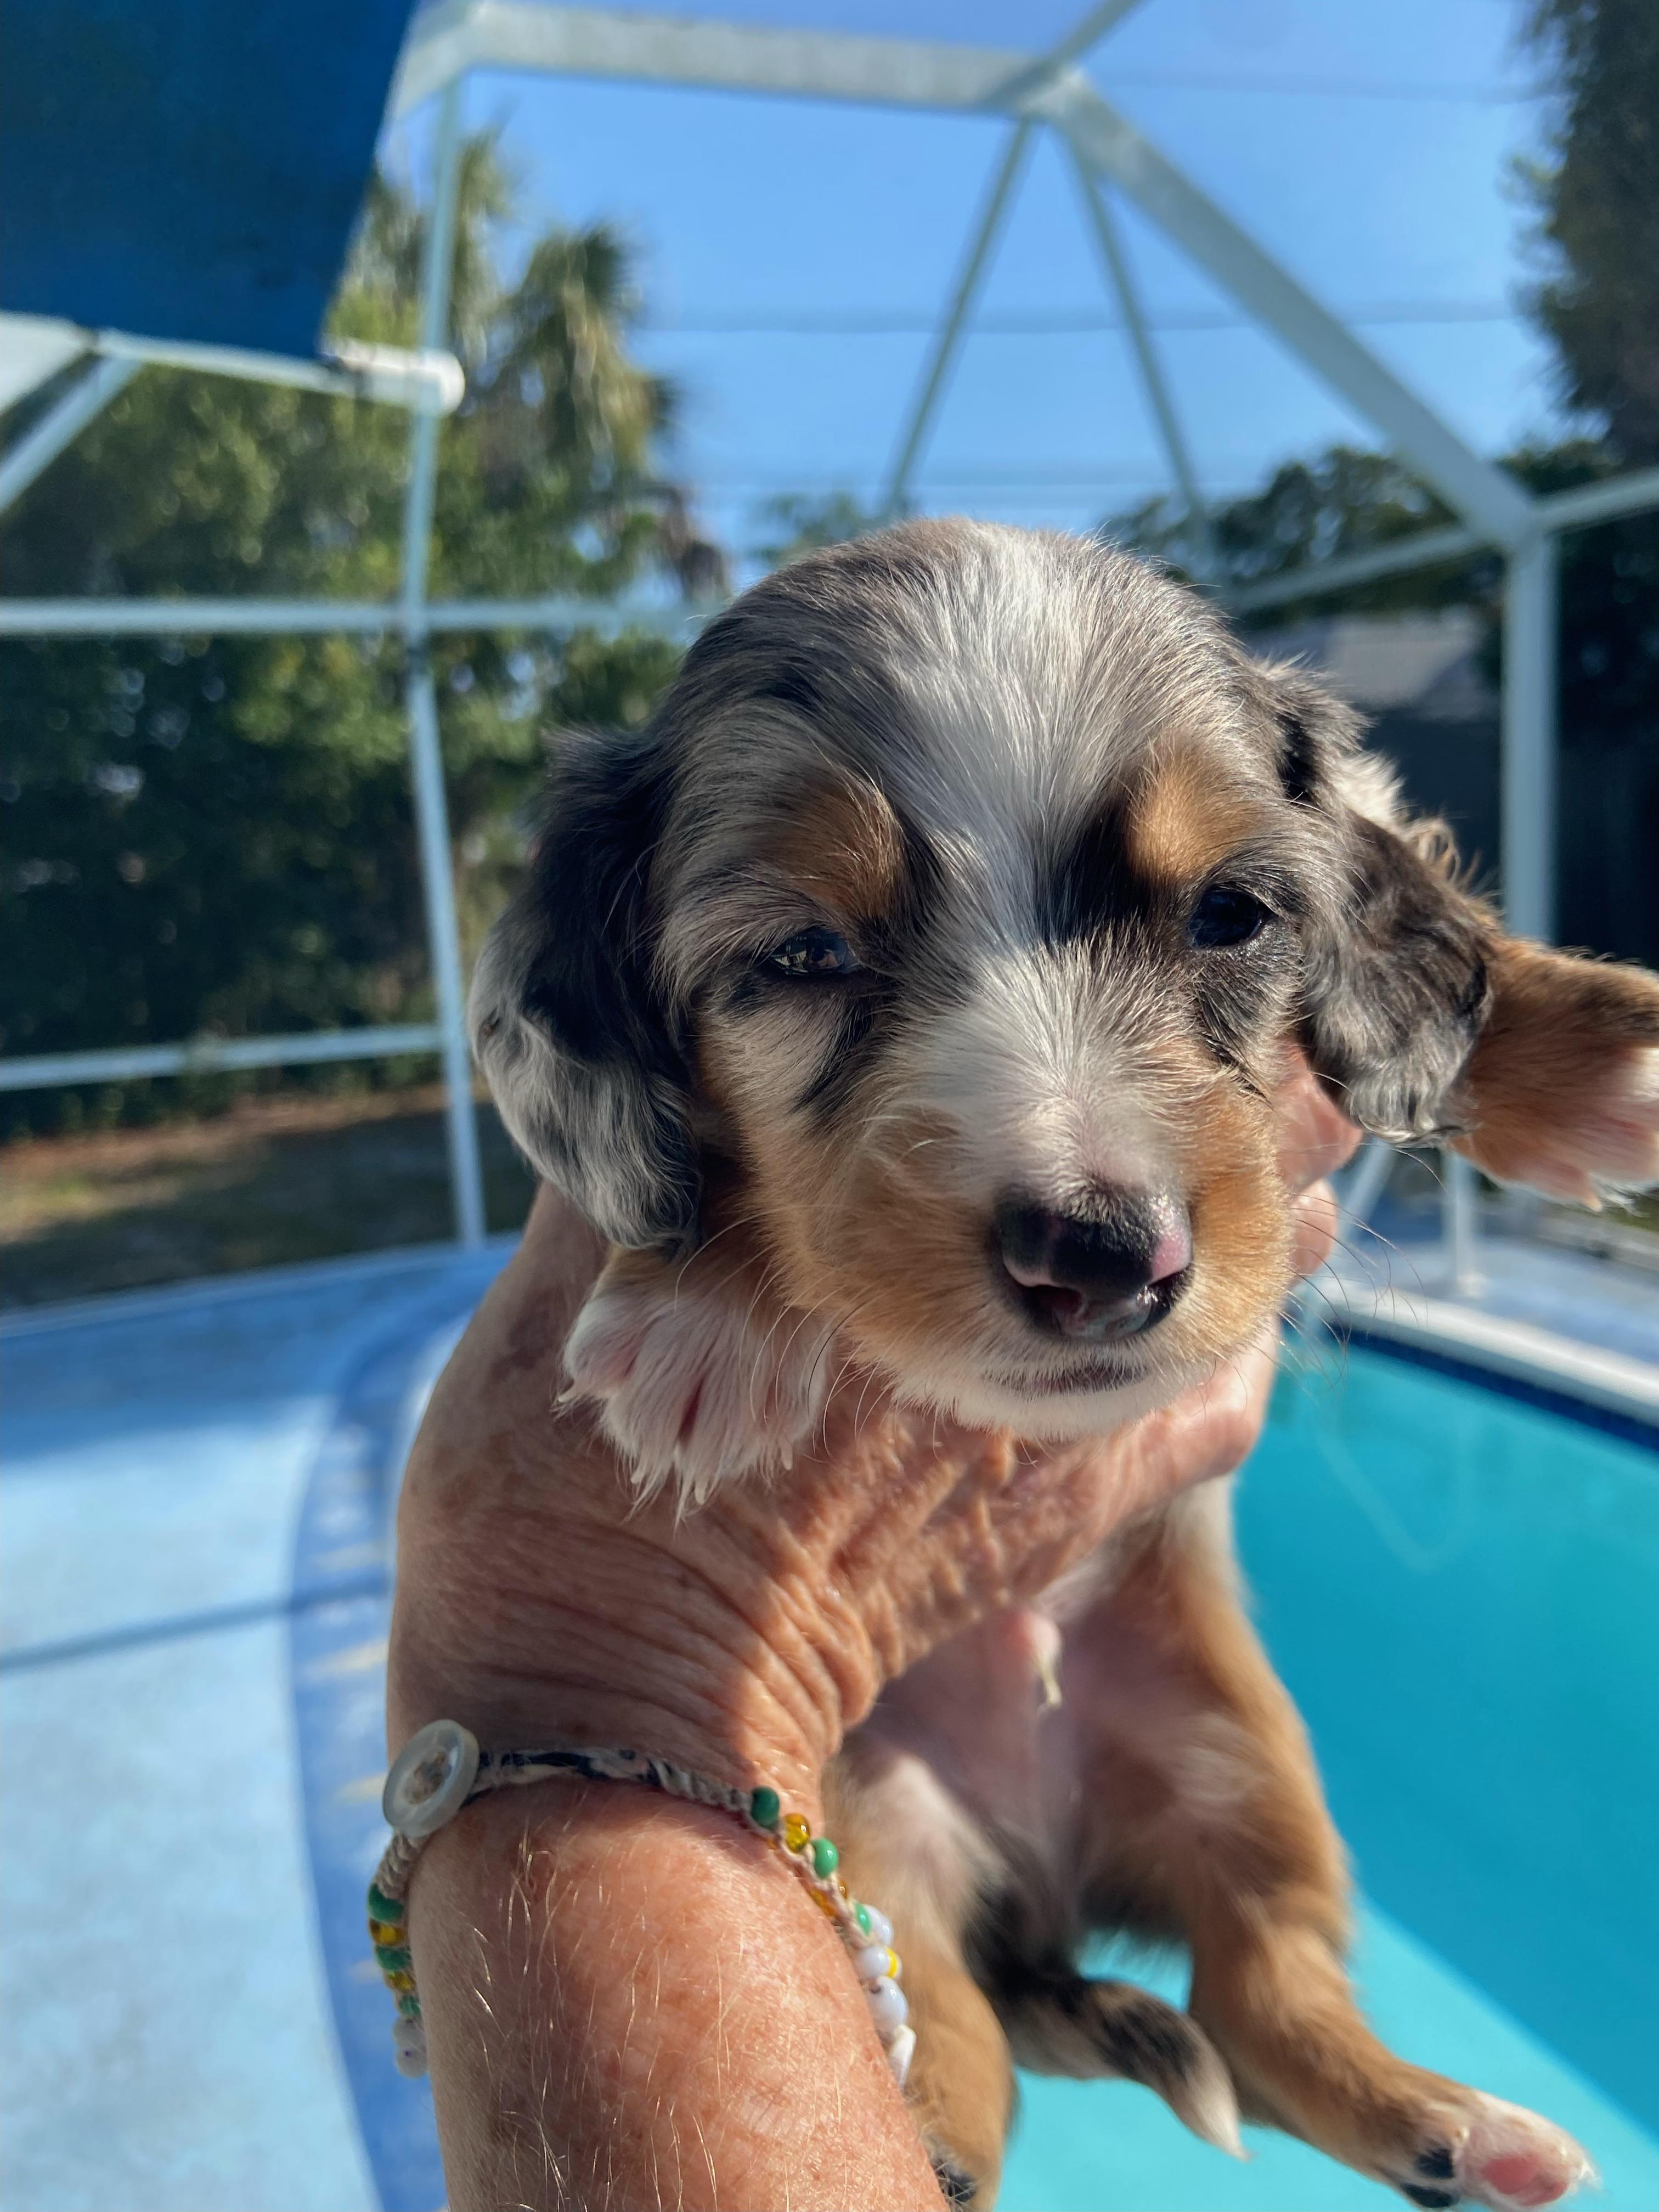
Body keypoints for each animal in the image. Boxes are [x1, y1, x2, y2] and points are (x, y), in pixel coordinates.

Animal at [469, 521, 1659, 2210]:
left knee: (1266, 1995)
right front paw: (706, 1317)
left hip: (1248, 1762)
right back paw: (941, 2143)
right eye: (801, 954)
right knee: (970, 2033)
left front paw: (1589, 1049)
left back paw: (1458, 2128)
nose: (1104, 1258)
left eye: (1233, 915)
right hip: (872, 1825)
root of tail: (1044, 1865)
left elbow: (1419, 894)